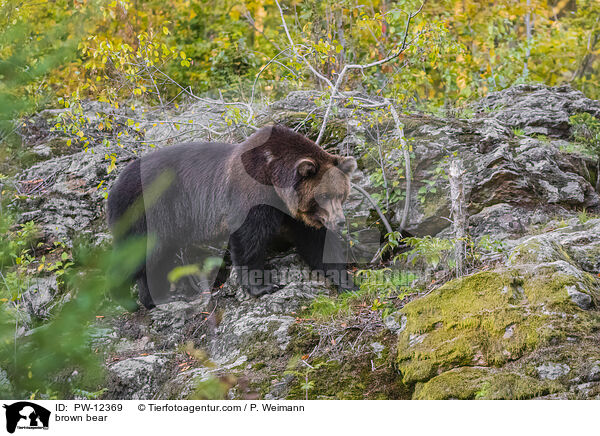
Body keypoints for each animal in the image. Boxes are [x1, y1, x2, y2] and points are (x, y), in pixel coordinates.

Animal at [106, 123, 356, 310]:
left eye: (341, 194)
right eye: (323, 195)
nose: (339, 221)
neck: (275, 179)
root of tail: (115, 185)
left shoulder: (297, 215)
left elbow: (317, 242)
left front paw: (346, 280)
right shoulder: (251, 192)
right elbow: (249, 237)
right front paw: (262, 286)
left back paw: (158, 297)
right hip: (148, 209)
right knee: (142, 251)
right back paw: (129, 297)